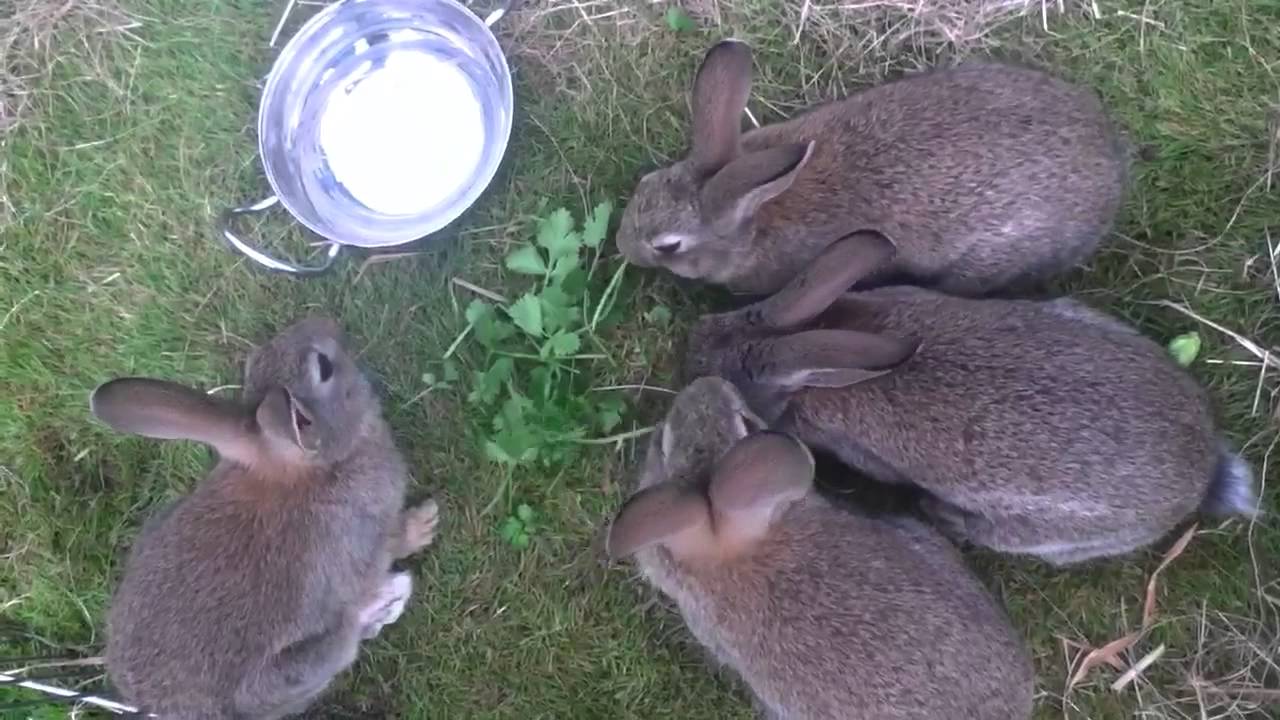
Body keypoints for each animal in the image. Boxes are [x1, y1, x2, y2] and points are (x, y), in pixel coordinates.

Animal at [91, 317, 440, 719]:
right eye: (324, 367)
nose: (325, 322)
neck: (310, 469)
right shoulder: (367, 540)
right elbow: (392, 544)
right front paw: (425, 525)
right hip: (304, 663)